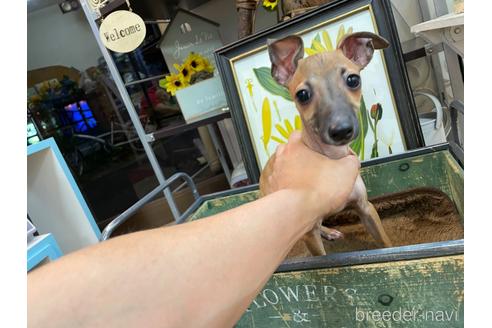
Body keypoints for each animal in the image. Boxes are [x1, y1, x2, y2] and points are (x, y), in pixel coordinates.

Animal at [260, 31, 394, 256]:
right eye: (302, 94)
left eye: (353, 79)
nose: (341, 130)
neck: (333, 158)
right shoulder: (309, 235)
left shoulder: (366, 208)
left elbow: (386, 243)